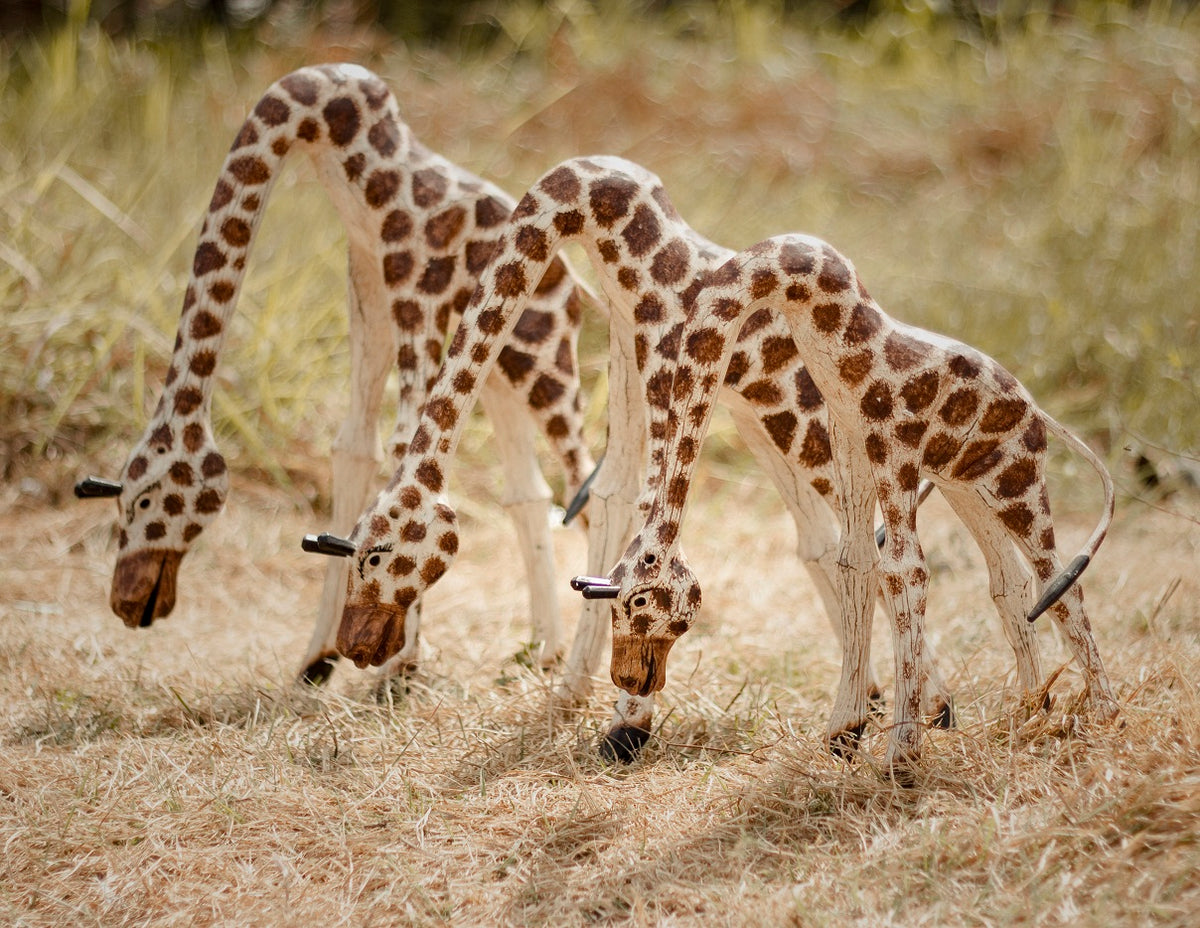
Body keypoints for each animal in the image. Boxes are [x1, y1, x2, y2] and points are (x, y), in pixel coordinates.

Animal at [73, 64, 595, 684]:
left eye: (144, 504)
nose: (128, 605)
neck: (338, 132)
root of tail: (573, 287)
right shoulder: (366, 283)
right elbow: (353, 447)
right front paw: (316, 659)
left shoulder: (415, 289)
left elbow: (402, 447)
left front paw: (400, 669)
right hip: (501, 378)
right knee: (528, 491)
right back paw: (544, 652)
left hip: (546, 365)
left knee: (591, 482)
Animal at [316, 155, 951, 760]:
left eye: (374, 557)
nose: (356, 646)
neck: (600, 210)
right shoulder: (627, 350)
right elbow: (611, 497)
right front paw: (571, 698)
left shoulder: (666, 360)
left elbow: (650, 521)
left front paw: (626, 725)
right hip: (763, 423)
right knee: (827, 538)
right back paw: (891, 706)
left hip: (802, 420)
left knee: (882, 536)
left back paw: (925, 712)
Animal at [584, 231, 1120, 778]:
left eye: (636, 602)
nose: (629, 679)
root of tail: (1040, 414)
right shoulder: (852, 451)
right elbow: (854, 562)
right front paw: (844, 734)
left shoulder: (894, 452)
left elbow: (906, 571)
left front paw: (901, 758)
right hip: (967, 485)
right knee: (1010, 580)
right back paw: (1029, 717)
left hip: (1018, 485)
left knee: (1059, 581)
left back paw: (1104, 717)